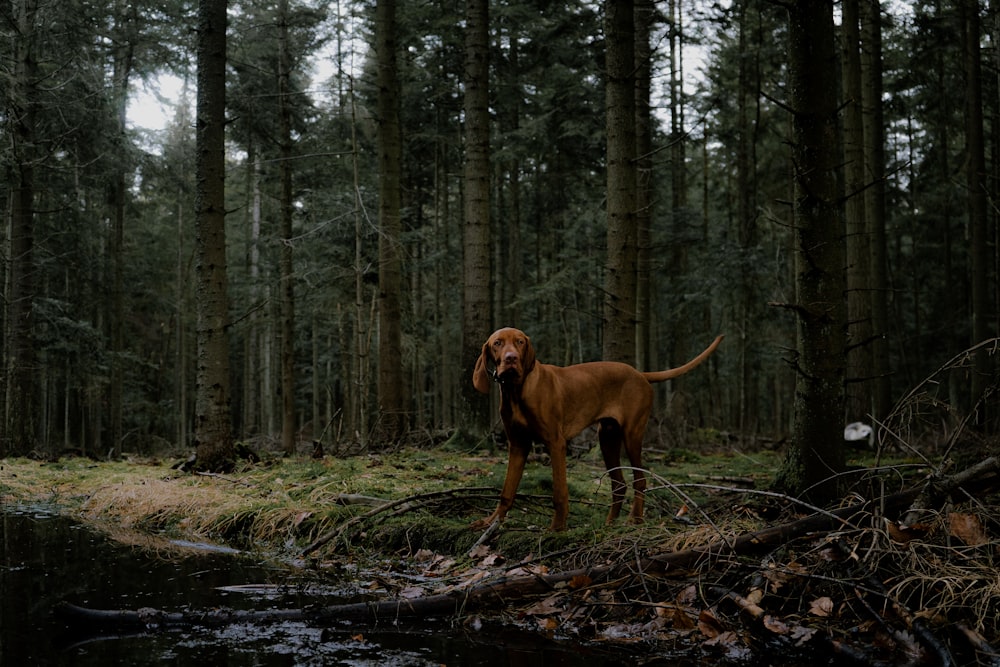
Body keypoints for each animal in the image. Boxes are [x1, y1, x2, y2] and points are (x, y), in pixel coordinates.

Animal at [472, 328, 724, 532]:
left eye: (520, 342)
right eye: (497, 343)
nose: (511, 359)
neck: (517, 391)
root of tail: (640, 374)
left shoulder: (556, 442)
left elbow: (559, 492)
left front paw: (557, 527)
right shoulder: (517, 446)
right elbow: (506, 492)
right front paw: (492, 521)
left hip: (632, 435)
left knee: (640, 480)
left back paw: (635, 520)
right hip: (608, 438)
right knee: (619, 485)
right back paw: (610, 523)